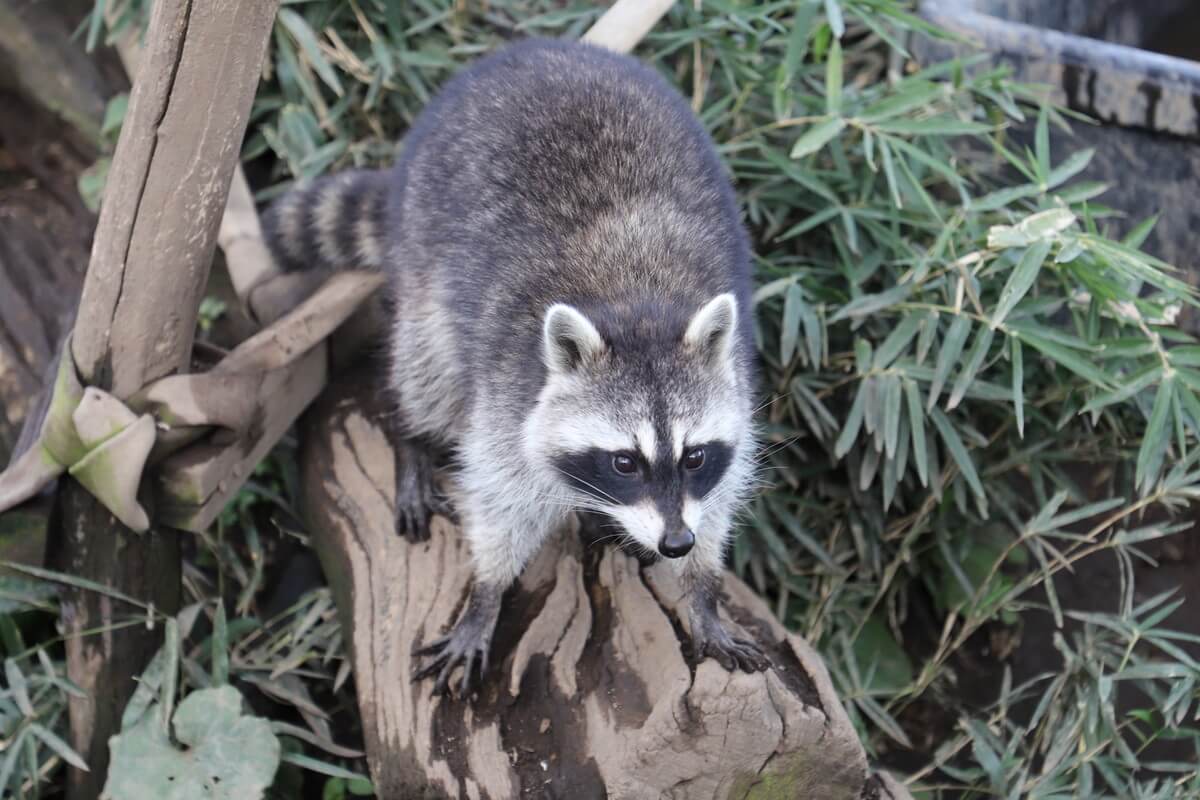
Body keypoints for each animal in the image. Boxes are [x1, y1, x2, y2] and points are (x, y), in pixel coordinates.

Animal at [264, 37, 768, 695]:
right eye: (624, 462)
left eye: (695, 456)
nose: (676, 543)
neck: (637, 304)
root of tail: (536, 48)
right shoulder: (510, 386)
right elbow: (501, 495)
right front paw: (487, 591)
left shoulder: (734, 379)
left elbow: (721, 493)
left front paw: (703, 590)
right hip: (426, 235)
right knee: (426, 359)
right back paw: (414, 439)